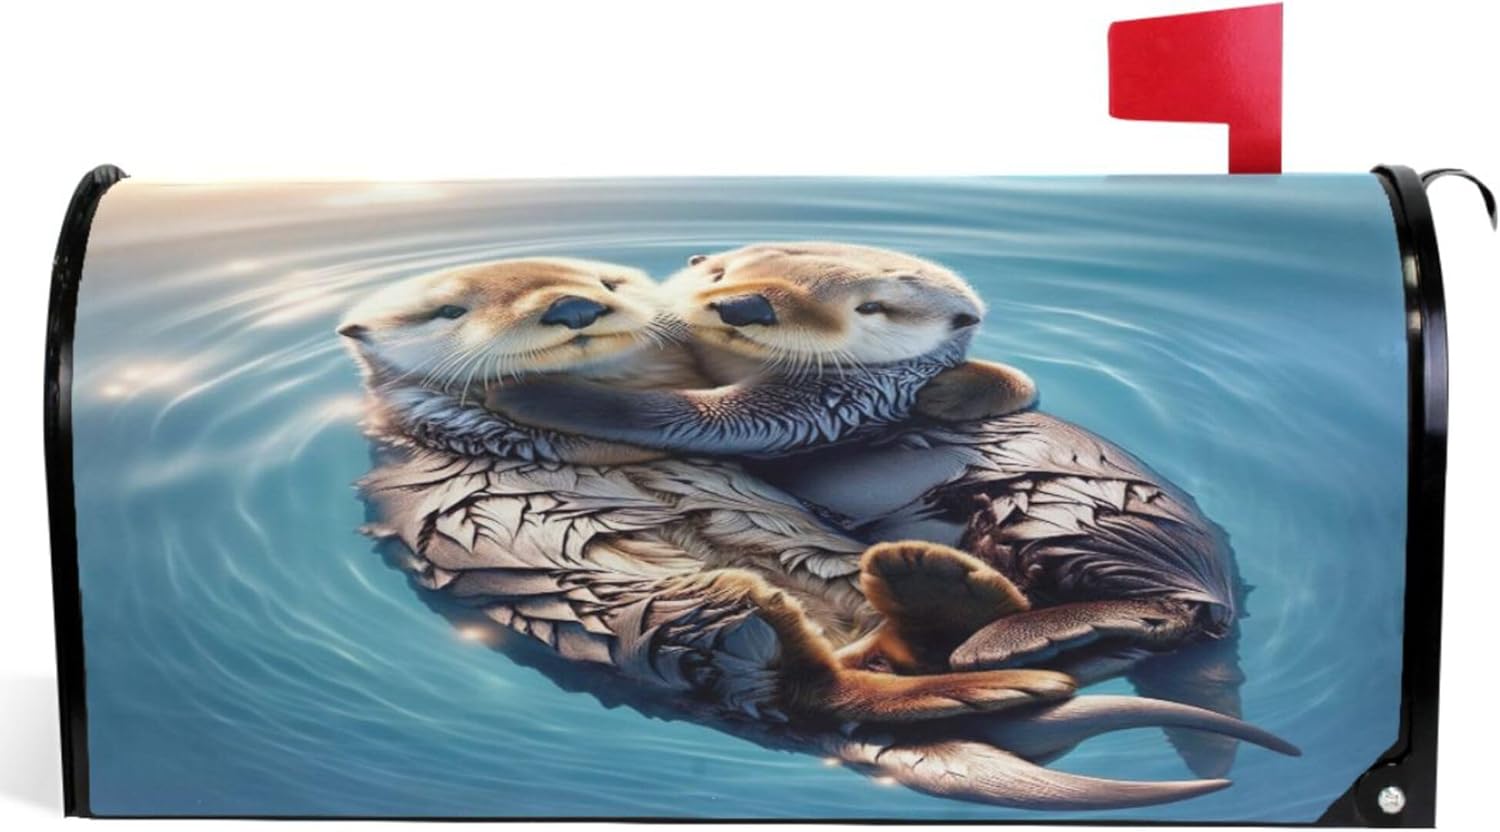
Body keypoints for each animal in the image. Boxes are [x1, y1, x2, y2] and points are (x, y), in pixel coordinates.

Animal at [341, 257, 1295, 808]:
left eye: (610, 287)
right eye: (444, 312)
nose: (575, 309)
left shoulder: (824, 399)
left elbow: (700, 416)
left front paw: (549, 393)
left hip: (1065, 515)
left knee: (1158, 613)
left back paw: (984, 623)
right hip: (657, 612)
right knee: (817, 682)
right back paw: (969, 640)